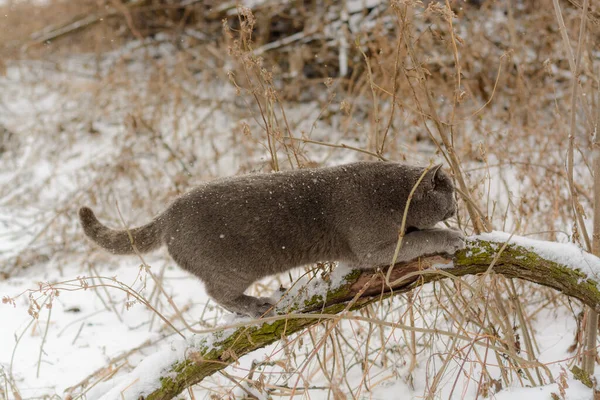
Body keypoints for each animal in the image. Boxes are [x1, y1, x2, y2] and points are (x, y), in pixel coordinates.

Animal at [79, 161, 464, 318]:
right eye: (451, 194)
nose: (458, 206)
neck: (396, 197)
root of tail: (168, 212)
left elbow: (416, 234)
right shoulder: (371, 248)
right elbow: (421, 238)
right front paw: (452, 237)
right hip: (232, 270)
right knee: (216, 293)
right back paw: (254, 305)